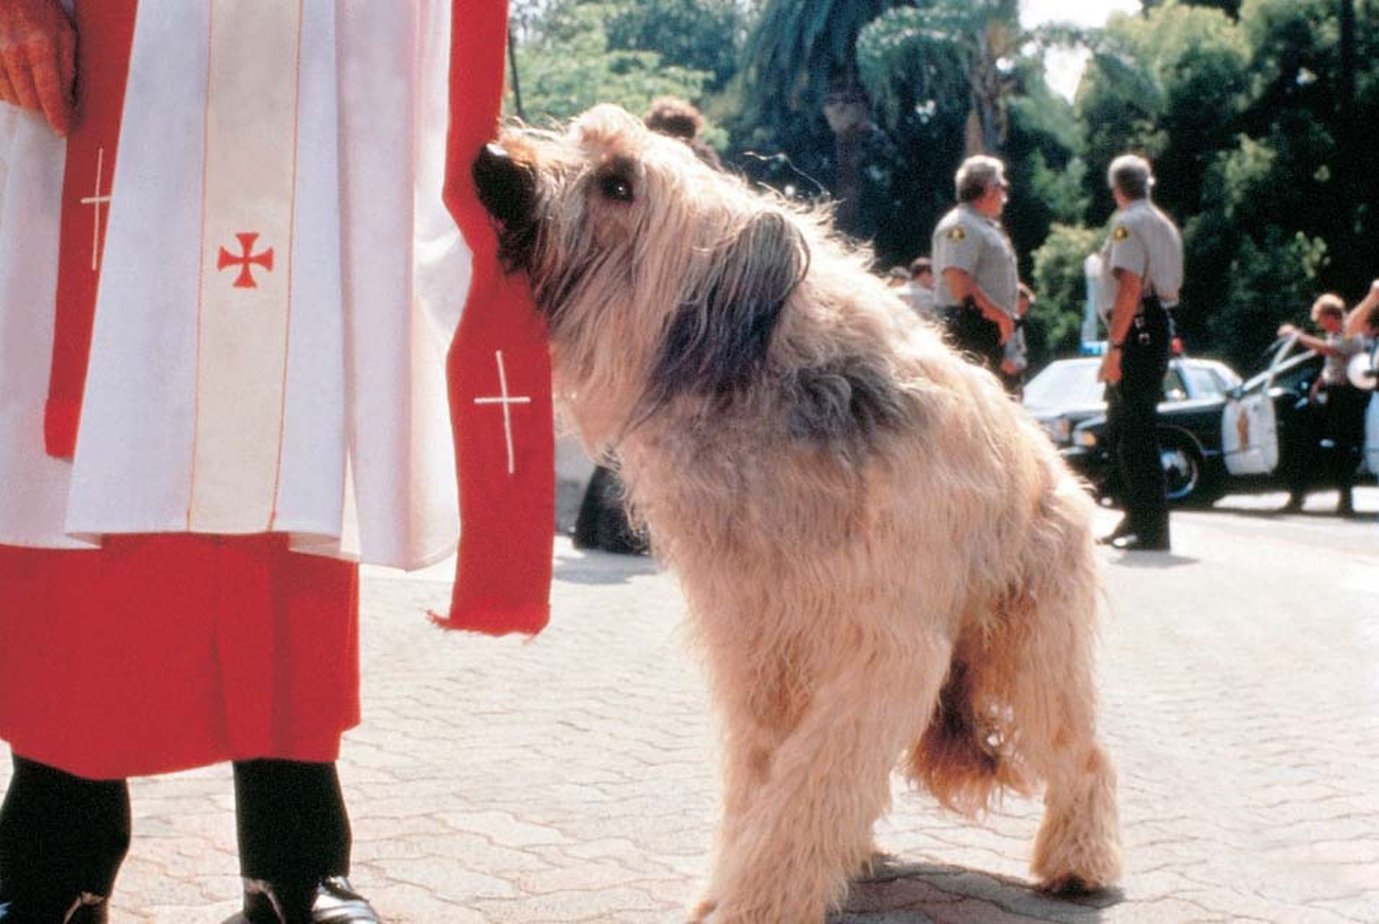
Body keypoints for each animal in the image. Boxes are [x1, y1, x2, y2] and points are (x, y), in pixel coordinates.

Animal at [474, 106, 1119, 924]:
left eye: (619, 182)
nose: (492, 164)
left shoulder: (880, 645)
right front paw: (743, 872)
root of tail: (1064, 478)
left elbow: (815, 777)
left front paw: (762, 893)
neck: (762, 378)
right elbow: (774, 770)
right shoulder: (759, 639)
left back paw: (1079, 859)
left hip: (1029, 641)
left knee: (1078, 750)